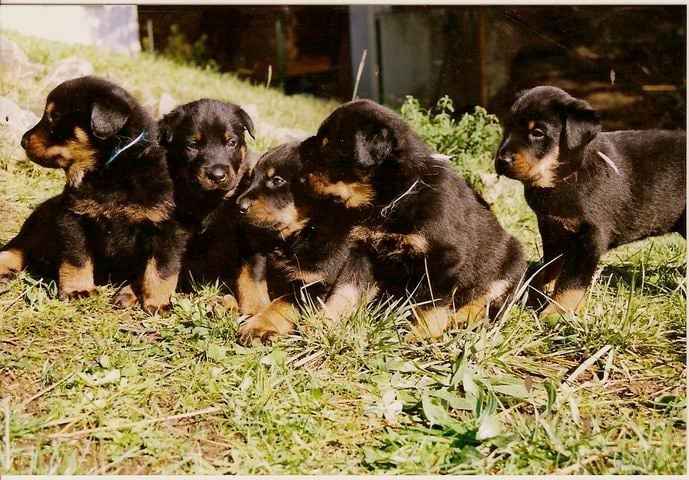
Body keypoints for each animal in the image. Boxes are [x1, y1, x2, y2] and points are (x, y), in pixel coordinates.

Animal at [234, 142, 370, 344]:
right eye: (250, 179)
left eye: (277, 180)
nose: (239, 206)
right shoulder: (254, 253)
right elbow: (249, 280)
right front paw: (254, 310)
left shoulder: (315, 283)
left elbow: (282, 303)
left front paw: (259, 326)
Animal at [296, 98, 528, 338]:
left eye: (329, 150)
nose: (300, 179)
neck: (392, 199)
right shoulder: (362, 251)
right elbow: (344, 291)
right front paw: (322, 324)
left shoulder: (443, 260)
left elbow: (430, 307)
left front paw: (419, 337)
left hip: (512, 264)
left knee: (486, 303)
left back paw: (461, 320)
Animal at [494, 85, 684, 318]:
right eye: (507, 127)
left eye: (537, 133)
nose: (502, 159)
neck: (565, 175)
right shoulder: (552, 229)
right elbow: (552, 266)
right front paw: (542, 293)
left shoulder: (591, 236)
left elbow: (572, 281)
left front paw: (557, 312)